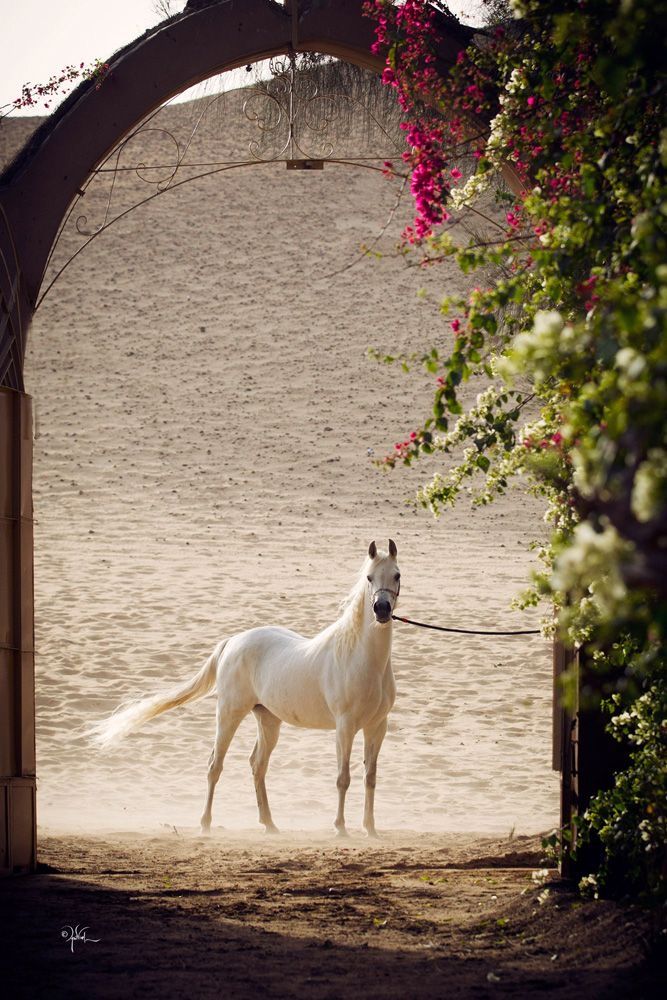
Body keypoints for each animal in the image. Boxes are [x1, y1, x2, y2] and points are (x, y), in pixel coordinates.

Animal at [90, 540, 400, 836]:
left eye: (396, 575)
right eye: (369, 577)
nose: (382, 610)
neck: (359, 658)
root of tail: (232, 641)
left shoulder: (376, 726)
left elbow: (370, 778)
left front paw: (370, 829)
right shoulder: (344, 727)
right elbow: (343, 778)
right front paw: (340, 829)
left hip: (268, 719)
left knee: (257, 766)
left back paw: (269, 824)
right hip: (229, 713)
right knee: (215, 766)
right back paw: (205, 824)